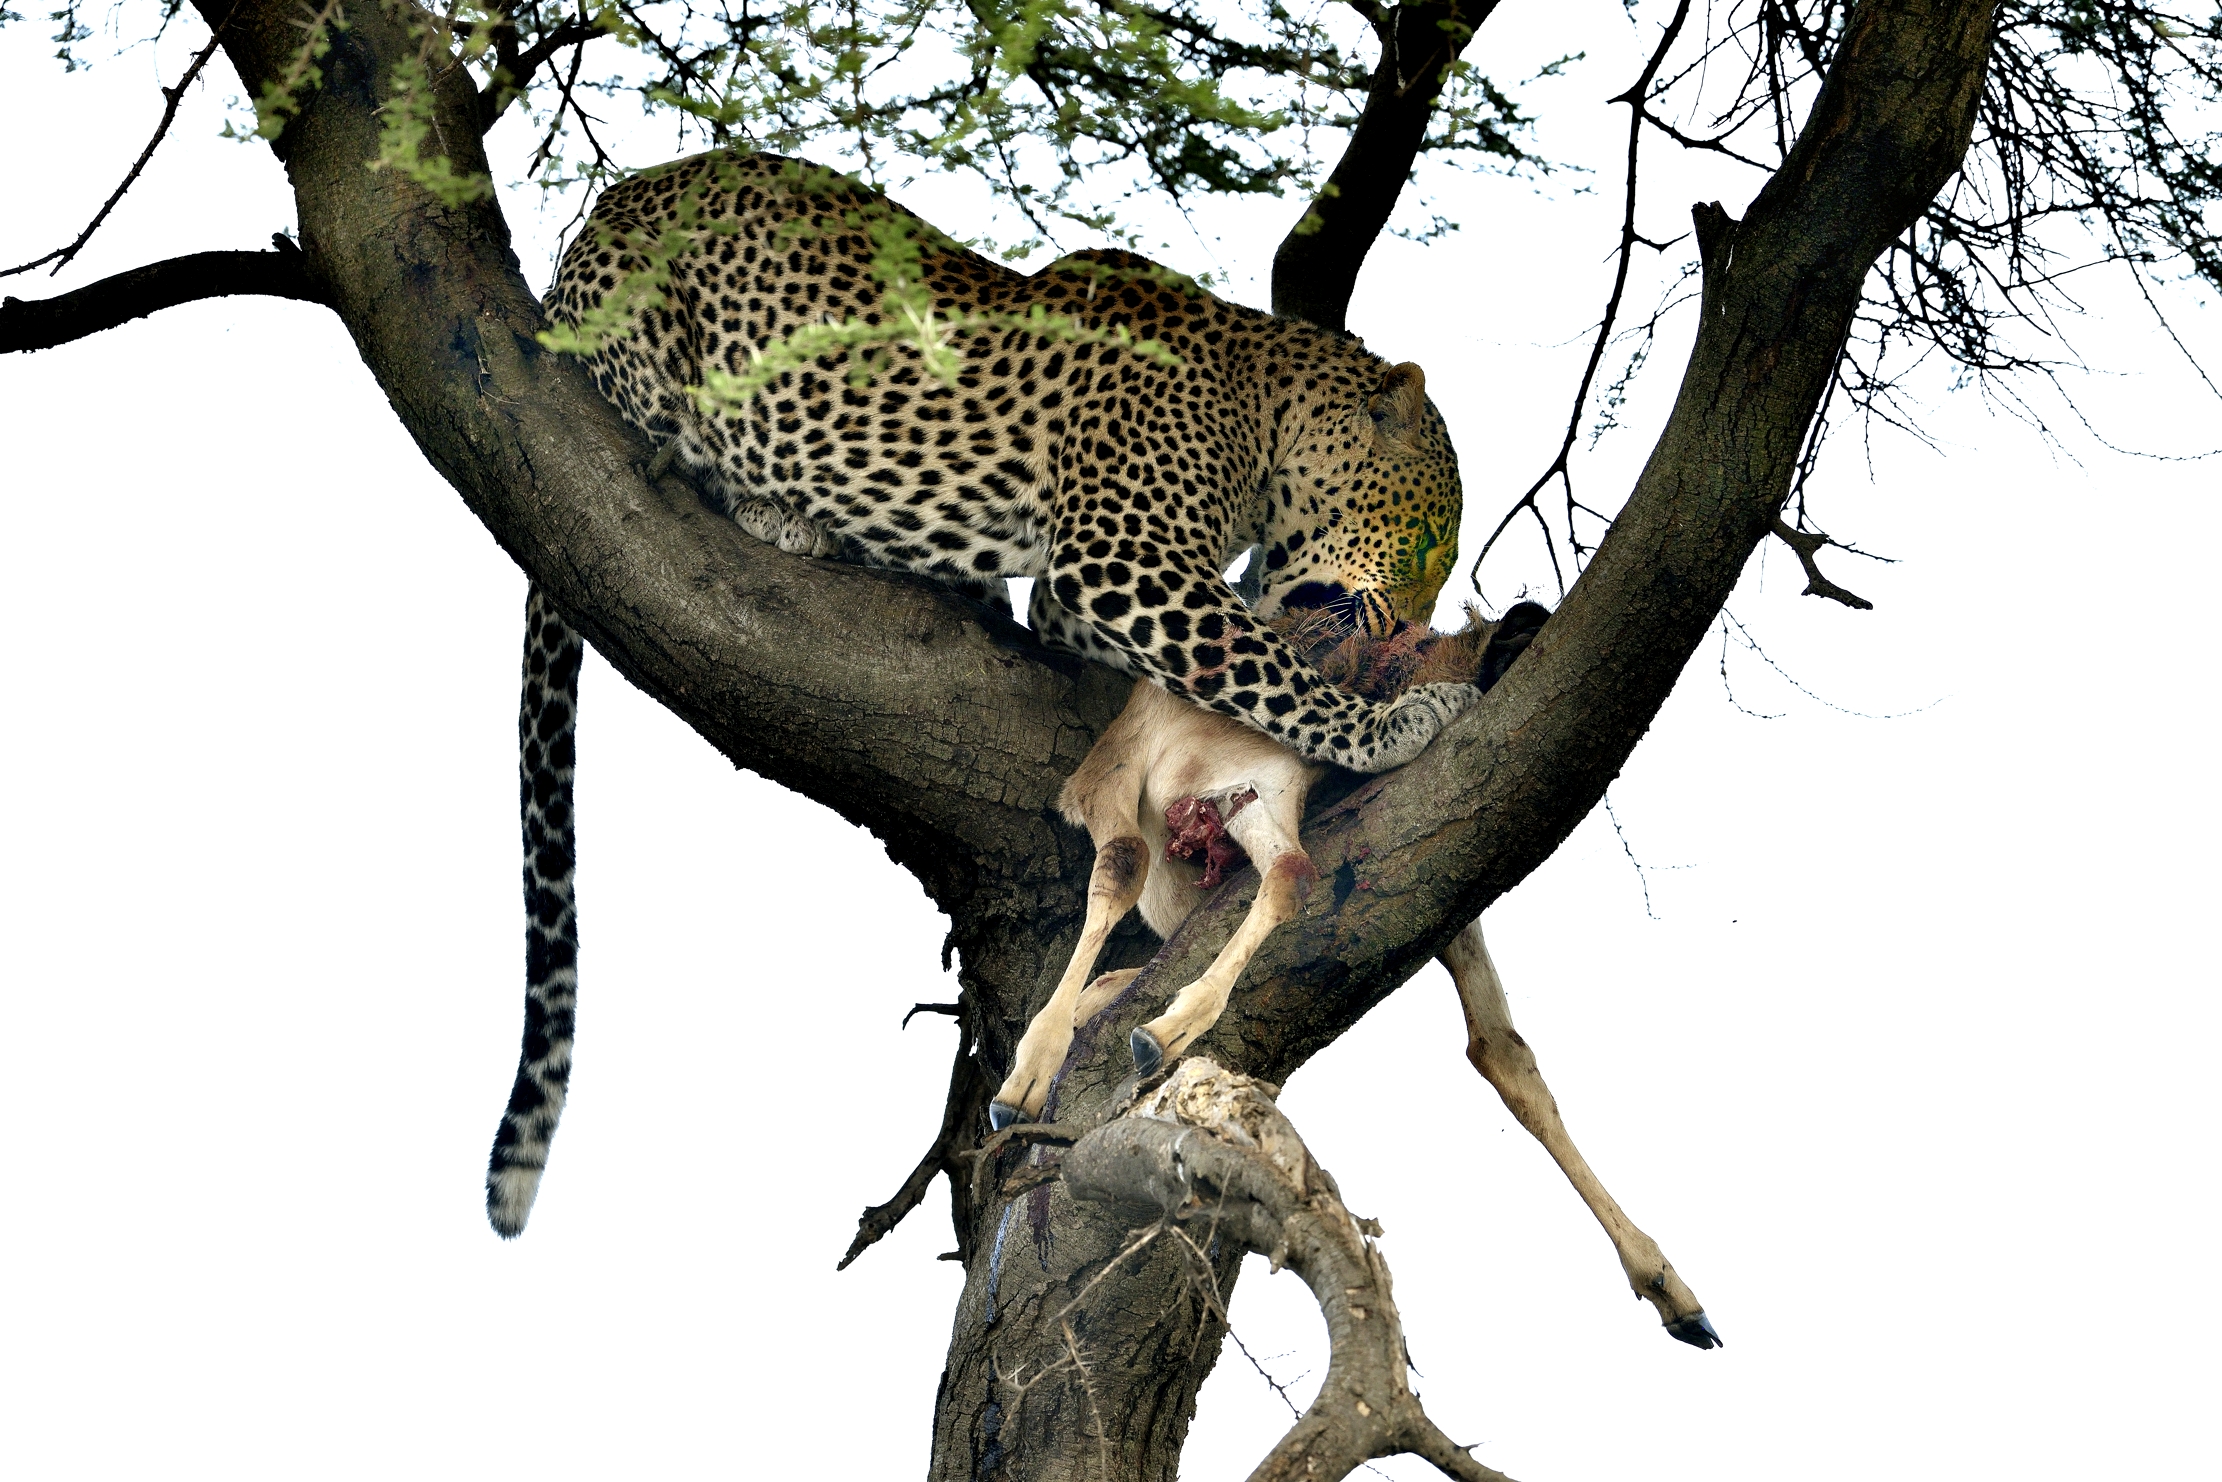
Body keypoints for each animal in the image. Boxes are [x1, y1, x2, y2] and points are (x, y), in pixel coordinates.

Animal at [484, 148, 1478, 1237]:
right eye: (1428, 539)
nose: (1414, 627)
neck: (1263, 411)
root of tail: (595, 226)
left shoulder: (1078, 594)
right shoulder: (1122, 557)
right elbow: (1261, 665)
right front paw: (1394, 723)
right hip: (658, 342)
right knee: (672, 446)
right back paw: (782, 512)